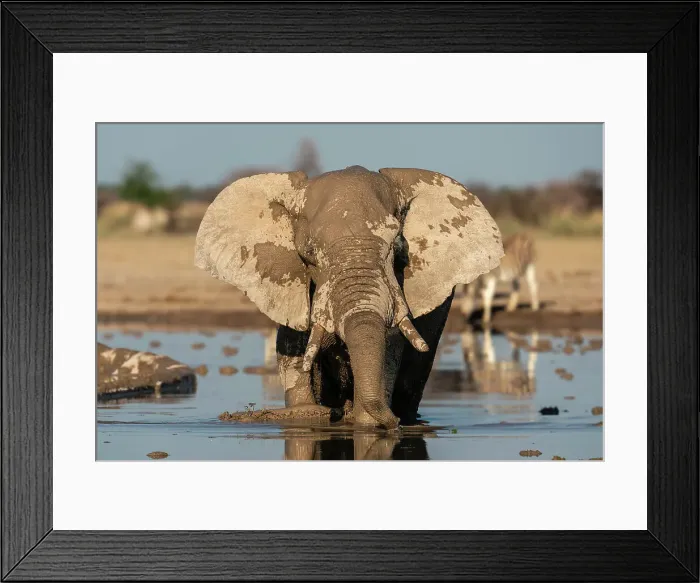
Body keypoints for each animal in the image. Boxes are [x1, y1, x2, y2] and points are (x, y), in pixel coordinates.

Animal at [195, 165, 503, 429]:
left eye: (398, 246)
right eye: (309, 252)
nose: (392, 423)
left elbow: (389, 351)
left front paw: (365, 421)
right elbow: (294, 355)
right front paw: (310, 411)